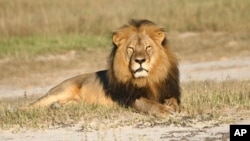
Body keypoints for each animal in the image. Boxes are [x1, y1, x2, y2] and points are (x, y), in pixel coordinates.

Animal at [26, 19, 180, 117]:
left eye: (148, 47)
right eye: (131, 49)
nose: (140, 60)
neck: (148, 79)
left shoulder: (169, 90)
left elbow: (174, 101)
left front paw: (172, 106)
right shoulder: (129, 98)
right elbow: (148, 103)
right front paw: (164, 110)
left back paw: (57, 106)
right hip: (60, 91)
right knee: (30, 106)